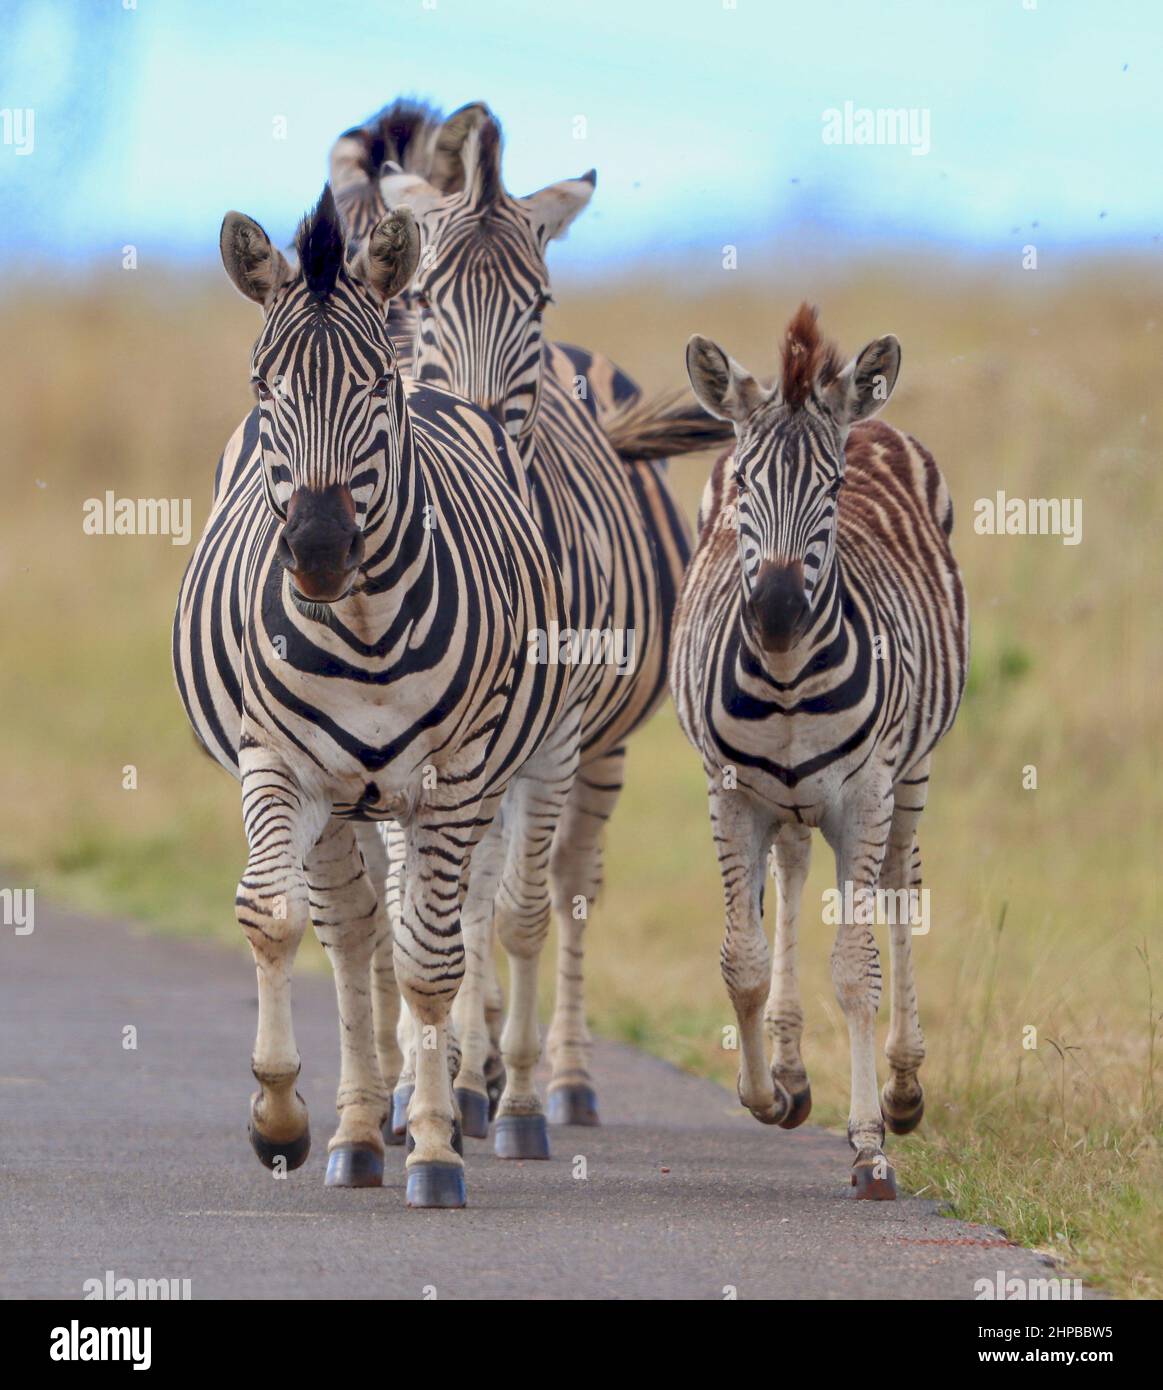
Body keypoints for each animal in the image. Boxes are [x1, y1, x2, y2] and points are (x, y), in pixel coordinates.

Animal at [173, 185, 586, 1208]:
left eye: (375, 391)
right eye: (264, 389)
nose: (319, 550)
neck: (358, 622)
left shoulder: (455, 780)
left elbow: (432, 960)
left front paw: (436, 1147)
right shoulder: (279, 764)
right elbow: (274, 917)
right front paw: (280, 1117)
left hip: (519, 759)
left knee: (472, 923)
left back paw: (468, 1111)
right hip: (340, 798)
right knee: (354, 934)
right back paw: (357, 1133)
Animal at [360, 100, 714, 1142]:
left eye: (539, 302)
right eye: (420, 300)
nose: (475, 426)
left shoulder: (553, 736)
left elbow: (519, 914)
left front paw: (512, 1099)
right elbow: (420, 910)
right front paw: (424, 1089)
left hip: (597, 747)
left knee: (564, 889)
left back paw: (557, 1082)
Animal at [670, 304, 968, 1198]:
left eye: (832, 491)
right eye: (743, 486)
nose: (773, 615)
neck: (785, 681)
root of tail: (863, 415)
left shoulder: (865, 794)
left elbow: (855, 967)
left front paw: (870, 1143)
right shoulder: (730, 792)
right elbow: (741, 957)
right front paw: (768, 1094)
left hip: (909, 777)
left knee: (900, 888)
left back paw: (903, 1087)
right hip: (788, 800)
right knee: (793, 869)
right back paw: (794, 1069)